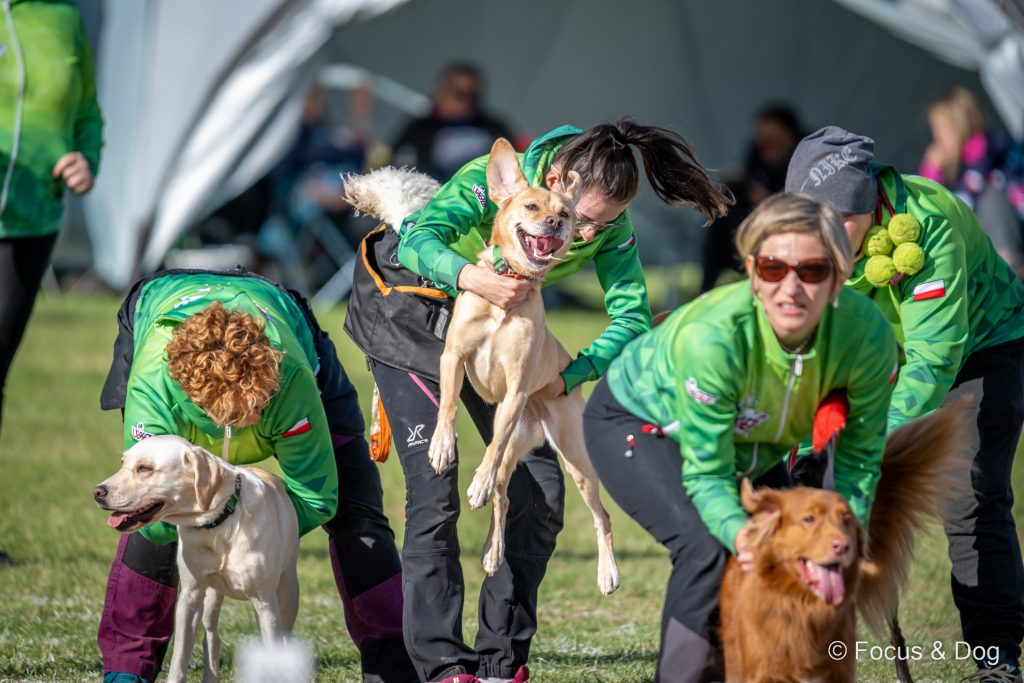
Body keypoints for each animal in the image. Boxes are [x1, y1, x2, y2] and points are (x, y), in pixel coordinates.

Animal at [94, 438, 299, 683]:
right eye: (123, 463)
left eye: (144, 468)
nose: (97, 492)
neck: (219, 523)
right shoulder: (190, 596)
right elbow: (180, 657)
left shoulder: (265, 601)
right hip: (212, 598)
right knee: (211, 635)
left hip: (287, 594)